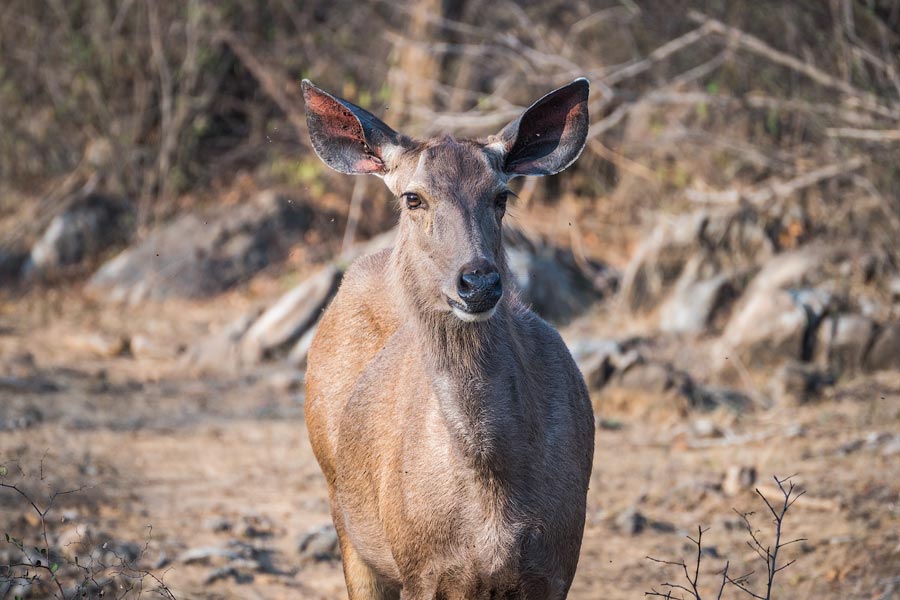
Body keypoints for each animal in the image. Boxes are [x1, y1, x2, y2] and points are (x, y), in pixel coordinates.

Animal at [302, 78, 595, 600]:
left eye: (501, 196)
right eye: (413, 198)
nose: (478, 282)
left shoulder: (559, 561)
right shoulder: (422, 567)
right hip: (346, 518)